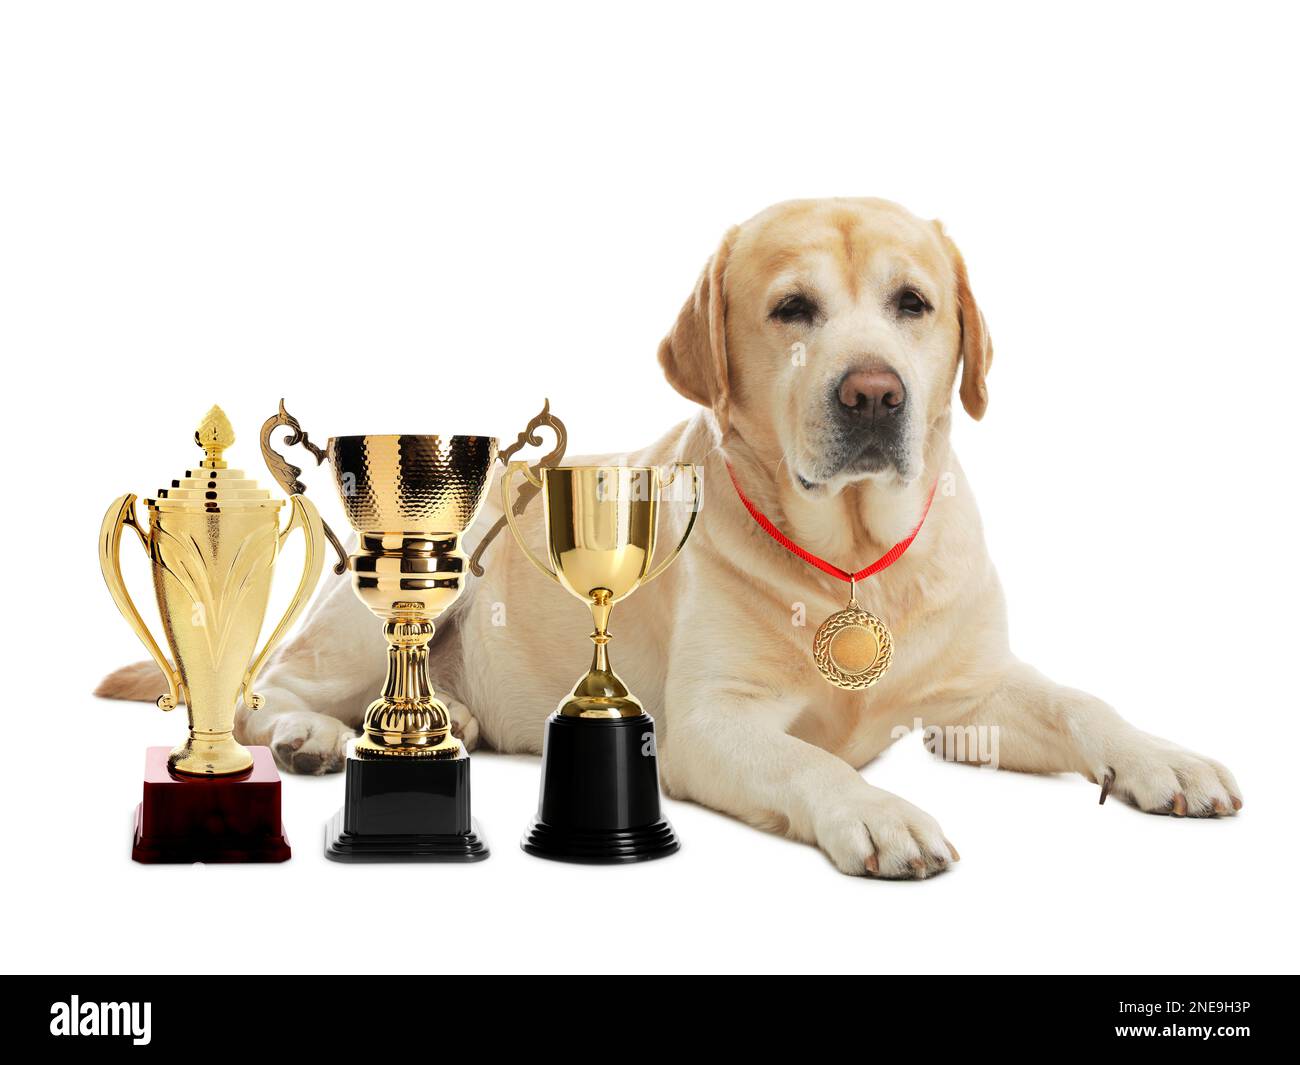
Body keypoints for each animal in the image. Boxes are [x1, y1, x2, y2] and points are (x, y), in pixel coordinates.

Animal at [101, 196, 1237, 879]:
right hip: (387, 604)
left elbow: (1084, 703)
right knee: (266, 690)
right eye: (792, 308)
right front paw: (876, 812)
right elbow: (810, 763)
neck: (853, 562)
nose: (874, 394)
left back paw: (452, 714)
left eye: (914, 303)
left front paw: (1165, 759)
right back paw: (313, 736)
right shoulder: (709, 723)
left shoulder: (977, 693)